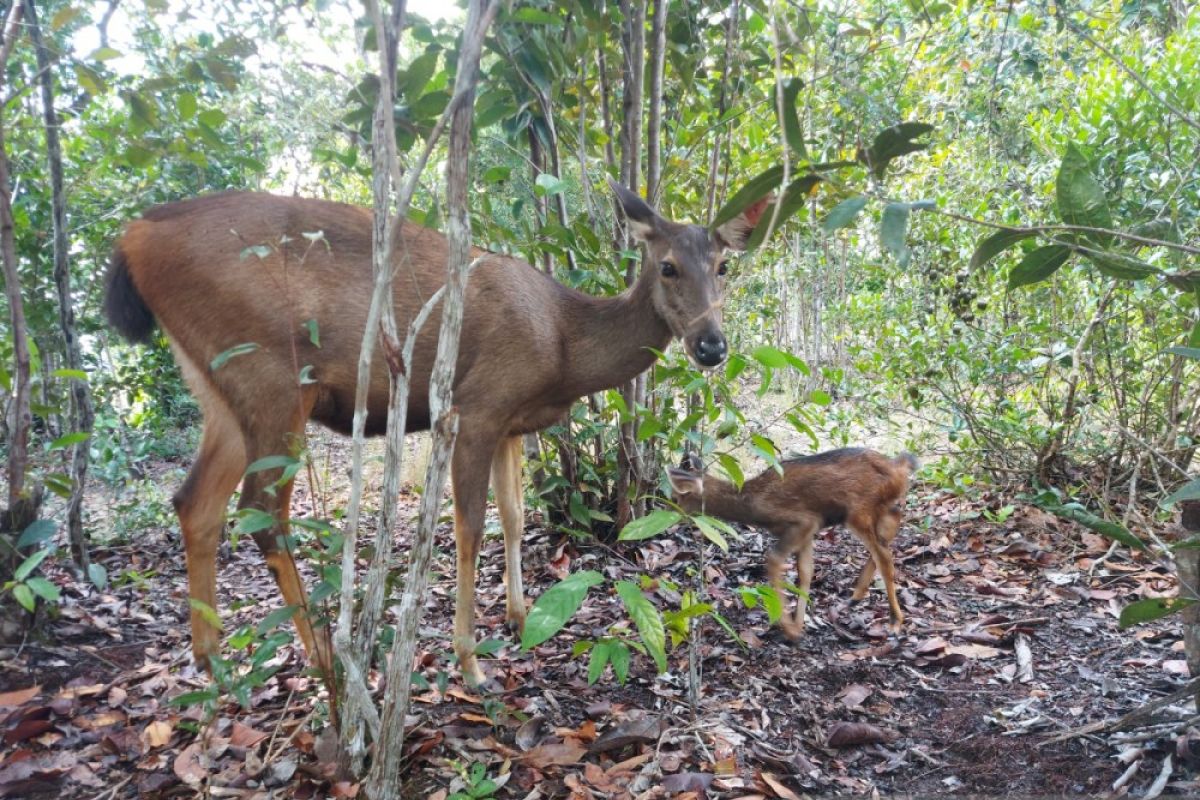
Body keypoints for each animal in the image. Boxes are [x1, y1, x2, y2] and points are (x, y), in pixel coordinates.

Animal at [100, 183, 758, 690]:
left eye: (725, 267)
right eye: (667, 266)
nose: (712, 346)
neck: (564, 344)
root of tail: (132, 237)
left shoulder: (510, 422)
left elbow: (513, 514)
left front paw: (519, 616)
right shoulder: (477, 406)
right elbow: (468, 528)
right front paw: (470, 663)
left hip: (219, 386)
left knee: (195, 502)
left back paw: (213, 661)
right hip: (271, 376)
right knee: (261, 509)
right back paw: (325, 661)